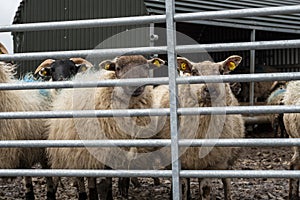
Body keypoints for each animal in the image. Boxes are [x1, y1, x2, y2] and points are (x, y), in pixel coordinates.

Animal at [46, 55, 166, 200]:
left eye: (146, 67)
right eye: (118, 68)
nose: (136, 86)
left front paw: (124, 191)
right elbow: (107, 178)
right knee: (83, 176)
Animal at [152, 55, 246, 200]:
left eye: (221, 71)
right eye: (194, 72)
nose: (210, 89)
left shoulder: (209, 164)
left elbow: (205, 190)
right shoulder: (182, 162)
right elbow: (182, 187)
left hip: (227, 160)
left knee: (227, 180)